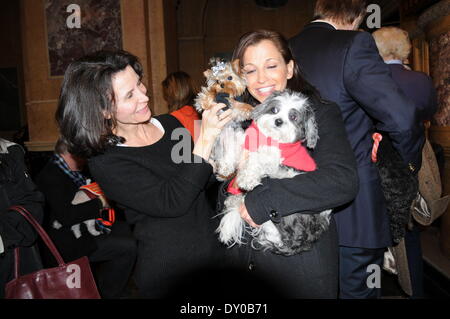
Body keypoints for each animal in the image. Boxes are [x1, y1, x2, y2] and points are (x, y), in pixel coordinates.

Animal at [216, 90, 332, 258]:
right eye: (274, 110)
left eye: (293, 117)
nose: (278, 121)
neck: (269, 137)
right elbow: (236, 143)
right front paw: (225, 166)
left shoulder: (280, 166)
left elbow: (257, 157)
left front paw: (247, 178)